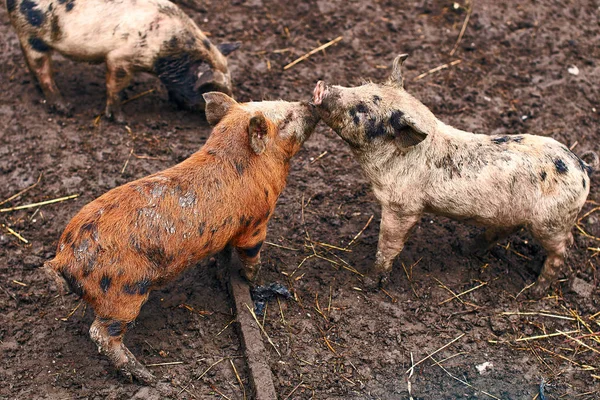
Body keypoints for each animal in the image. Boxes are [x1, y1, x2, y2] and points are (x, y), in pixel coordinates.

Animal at [5, 0, 239, 121]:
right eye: (210, 88)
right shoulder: (119, 59)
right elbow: (114, 86)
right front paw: (119, 119)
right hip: (32, 36)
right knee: (42, 70)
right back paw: (65, 108)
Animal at [43, 94, 318, 384]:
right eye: (285, 119)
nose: (312, 103)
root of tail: (62, 257)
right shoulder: (255, 224)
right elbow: (251, 254)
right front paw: (253, 279)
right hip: (123, 292)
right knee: (101, 333)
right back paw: (146, 377)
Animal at [312, 53, 596, 296]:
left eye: (361, 111)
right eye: (362, 84)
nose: (321, 86)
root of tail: (582, 167)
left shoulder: (403, 206)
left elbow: (389, 244)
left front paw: (368, 282)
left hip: (551, 221)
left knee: (564, 247)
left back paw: (534, 292)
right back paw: (465, 248)